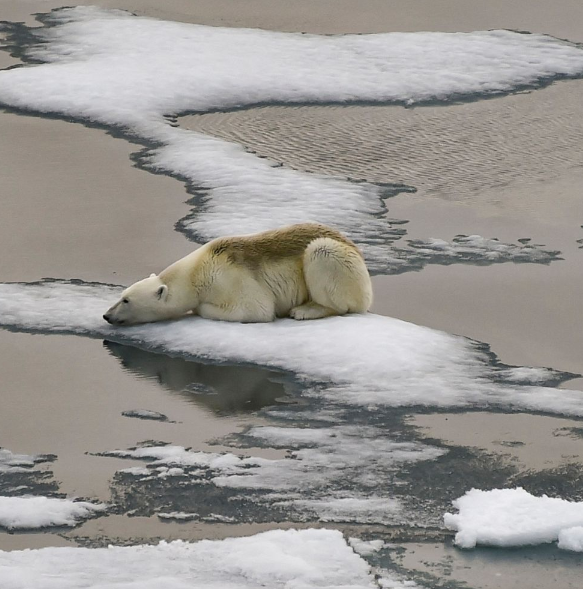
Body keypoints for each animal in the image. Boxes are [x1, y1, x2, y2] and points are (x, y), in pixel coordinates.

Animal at [102, 223, 372, 326]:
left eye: (126, 300)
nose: (106, 315)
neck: (197, 271)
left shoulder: (229, 277)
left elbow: (256, 309)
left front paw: (200, 308)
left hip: (341, 262)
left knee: (322, 255)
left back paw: (305, 310)